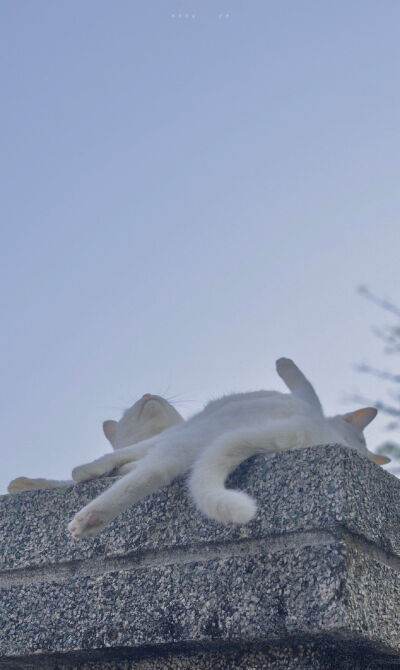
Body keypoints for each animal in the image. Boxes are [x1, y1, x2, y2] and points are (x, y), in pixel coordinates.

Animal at [67, 360, 390, 544]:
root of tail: (302, 430)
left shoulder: (178, 430)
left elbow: (128, 454)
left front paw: (88, 470)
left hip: (197, 432)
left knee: (147, 473)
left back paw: (86, 520)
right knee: (155, 471)